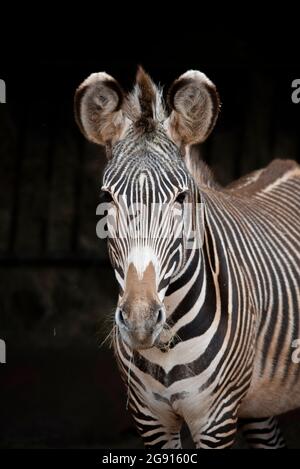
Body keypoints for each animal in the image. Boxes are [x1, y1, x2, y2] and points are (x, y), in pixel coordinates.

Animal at [74, 66, 300, 446]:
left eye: (181, 198)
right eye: (107, 197)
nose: (140, 322)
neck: (166, 344)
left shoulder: (216, 419)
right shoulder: (149, 418)